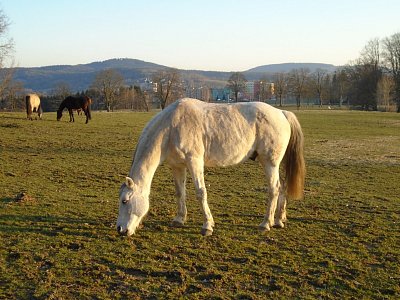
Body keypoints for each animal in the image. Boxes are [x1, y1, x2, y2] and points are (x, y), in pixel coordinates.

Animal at [117, 98, 304, 237]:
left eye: (125, 201)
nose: (120, 230)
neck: (171, 127)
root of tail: (281, 113)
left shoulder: (194, 162)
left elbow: (201, 193)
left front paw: (207, 226)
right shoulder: (177, 166)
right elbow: (180, 192)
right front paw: (179, 219)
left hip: (269, 163)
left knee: (274, 189)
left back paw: (266, 223)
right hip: (275, 164)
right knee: (283, 186)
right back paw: (279, 220)